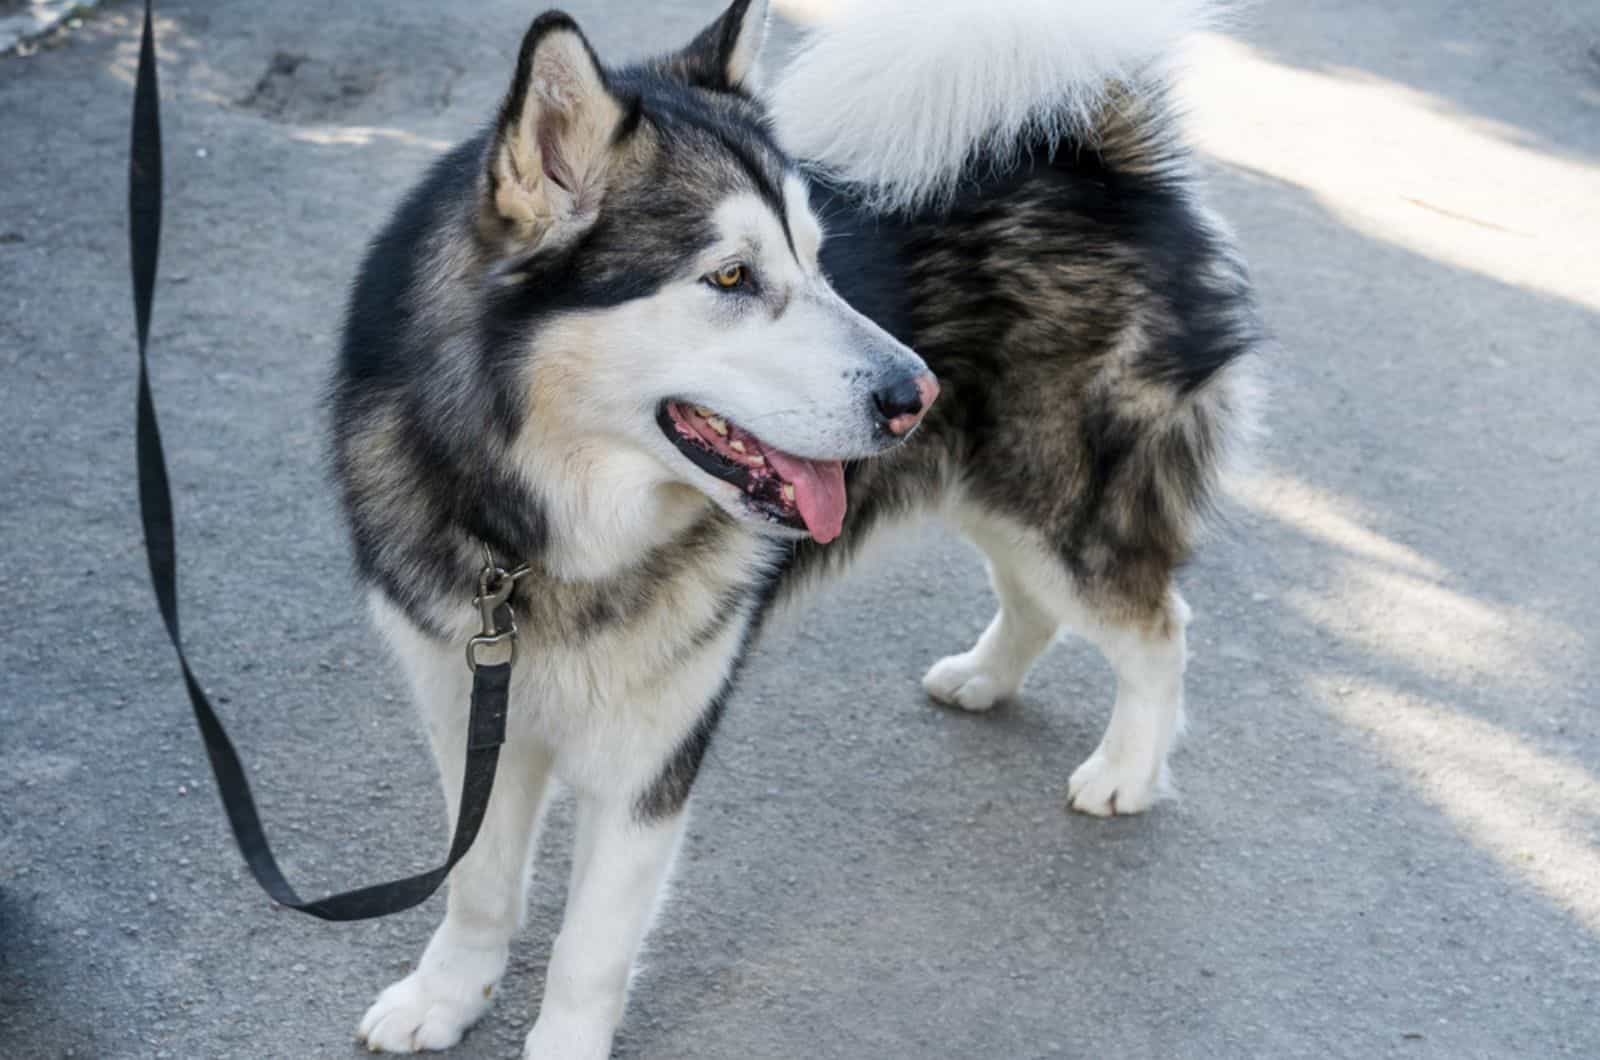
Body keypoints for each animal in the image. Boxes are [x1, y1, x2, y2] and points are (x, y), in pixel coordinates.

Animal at [334, 0, 1260, 1056]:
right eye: (732, 277)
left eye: (819, 262)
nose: (914, 392)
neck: (537, 535)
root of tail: (1099, 161)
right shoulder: (470, 710)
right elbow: (480, 887)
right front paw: (446, 995)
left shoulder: (651, 752)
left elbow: (590, 948)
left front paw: (559, 1039)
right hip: (992, 492)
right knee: (1038, 600)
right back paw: (986, 678)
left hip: (1058, 505)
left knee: (1157, 628)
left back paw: (1127, 769)